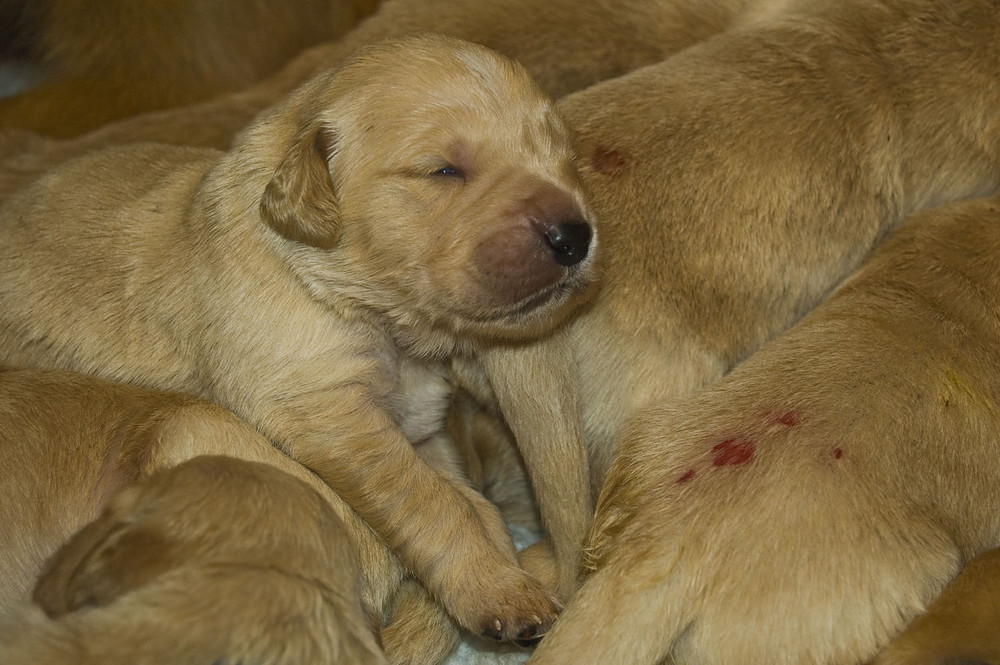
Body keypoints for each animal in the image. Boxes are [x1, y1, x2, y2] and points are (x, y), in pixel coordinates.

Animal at [0, 33, 592, 640]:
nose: (575, 236)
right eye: (444, 171)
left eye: (562, 154)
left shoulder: (420, 428)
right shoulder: (330, 411)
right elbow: (435, 505)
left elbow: (474, 503)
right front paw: (497, 589)